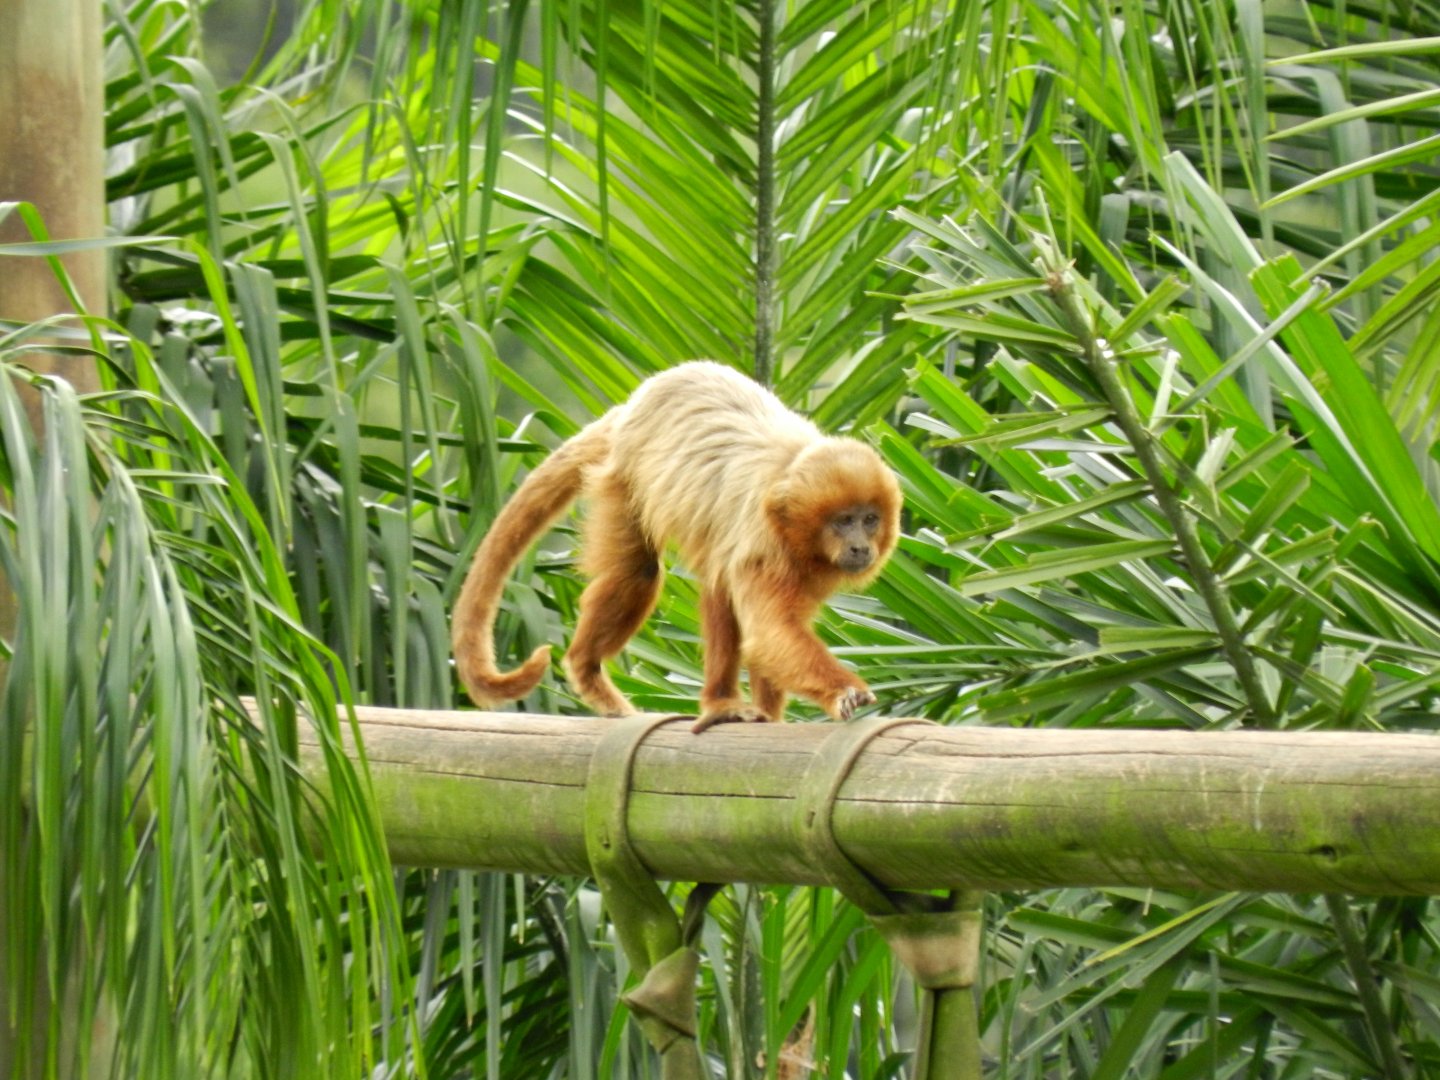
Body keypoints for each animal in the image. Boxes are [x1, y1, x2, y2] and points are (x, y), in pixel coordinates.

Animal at [451, 360, 901, 733]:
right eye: (843, 522)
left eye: (869, 520)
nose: (860, 547)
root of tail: (631, 407)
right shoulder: (765, 546)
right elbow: (768, 633)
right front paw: (844, 691)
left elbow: (762, 632)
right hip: (623, 478)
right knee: (641, 570)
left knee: (717, 585)